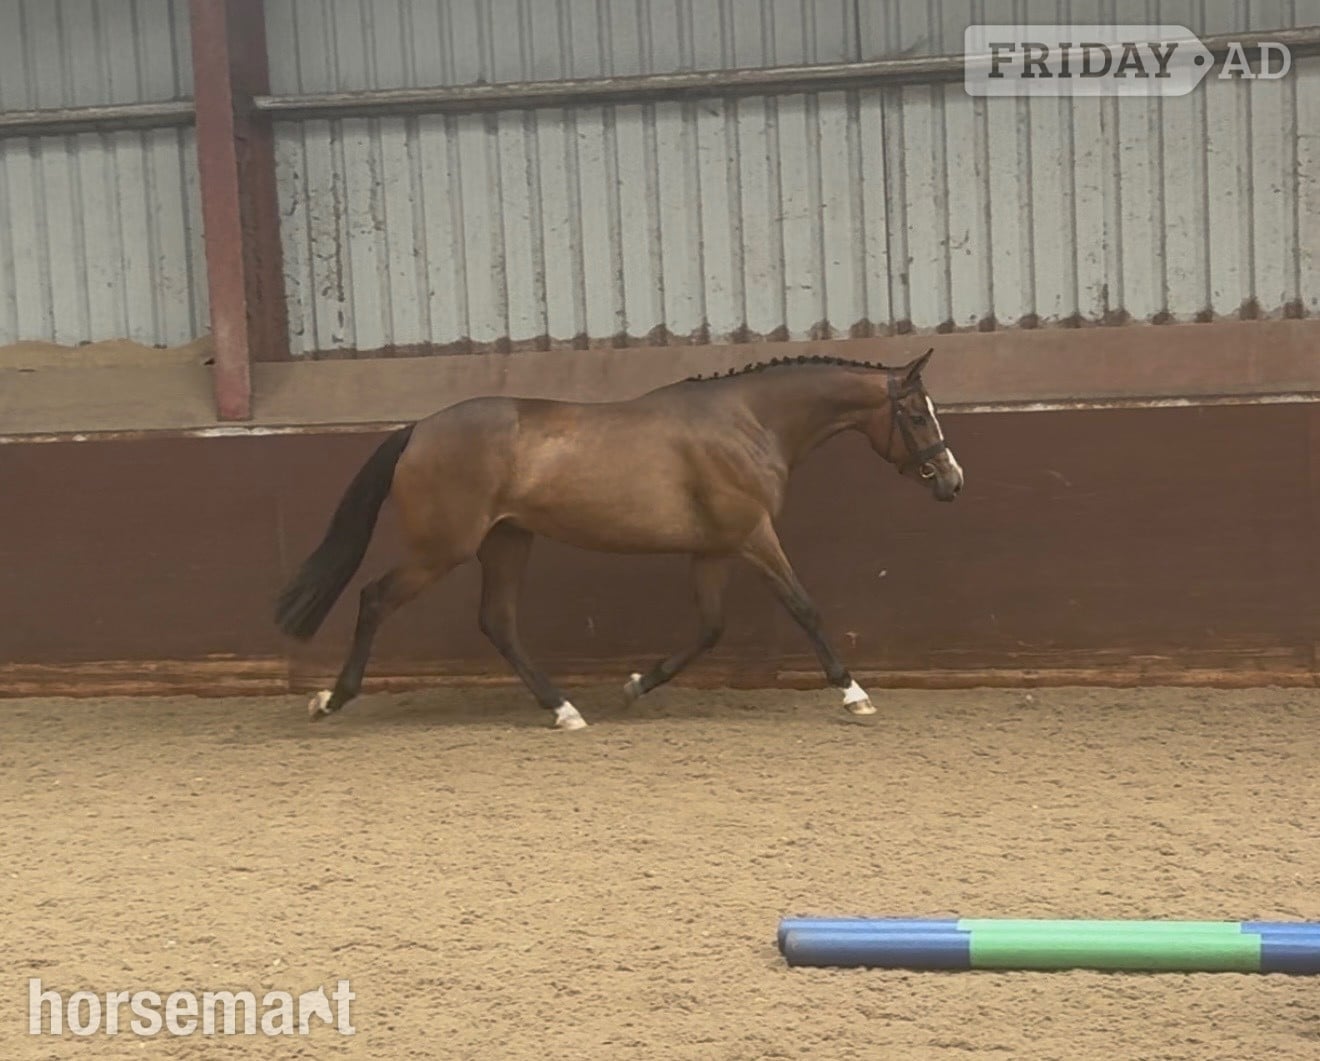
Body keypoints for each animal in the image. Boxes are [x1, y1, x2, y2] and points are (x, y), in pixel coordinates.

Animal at [274, 348, 963, 730]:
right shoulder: (752, 535)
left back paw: (563, 709)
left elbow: (709, 628)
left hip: (508, 542)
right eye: (916, 414)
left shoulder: (712, 549)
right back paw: (331, 701)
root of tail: (417, 430)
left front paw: (635, 685)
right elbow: (805, 608)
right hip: (441, 550)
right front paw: (855, 695)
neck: (748, 422)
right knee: (375, 599)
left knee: (498, 622)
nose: (953, 481)